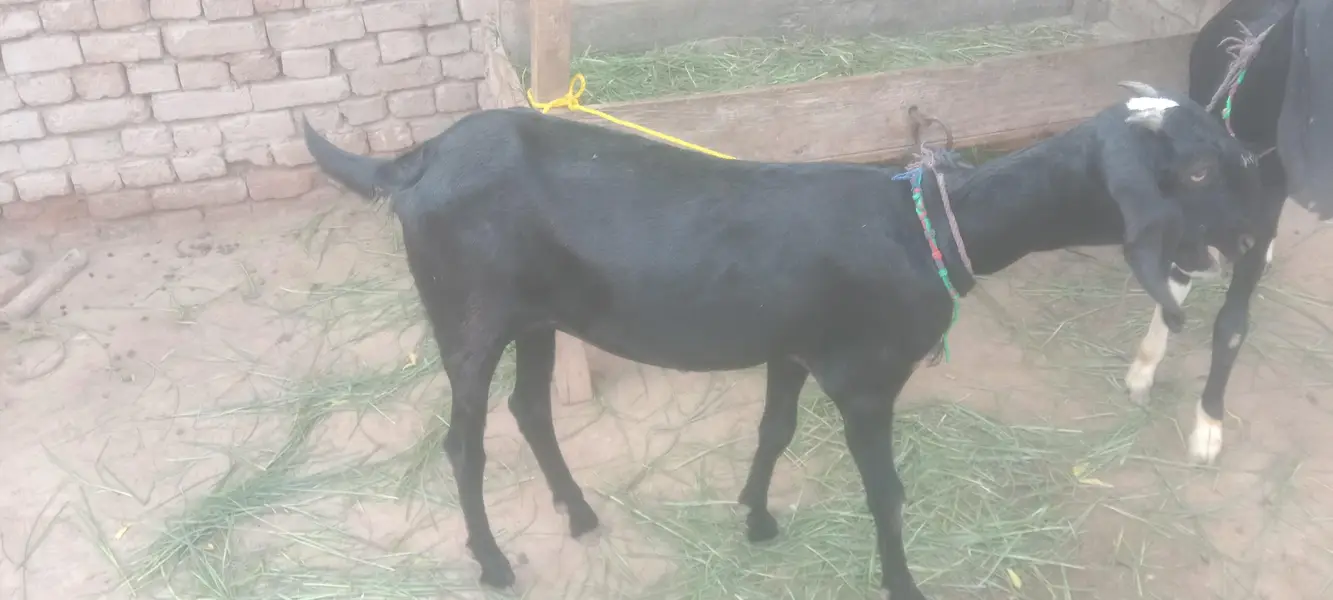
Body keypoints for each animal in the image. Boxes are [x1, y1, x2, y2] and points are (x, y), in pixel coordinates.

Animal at [303, 84, 1262, 599]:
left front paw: (757, 519)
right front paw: (902, 582)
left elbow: (774, 431)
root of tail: (414, 162)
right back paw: (496, 561)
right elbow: (886, 493)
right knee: (463, 439)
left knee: (530, 408)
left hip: (537, 317)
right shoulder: (866, 379)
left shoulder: (794, 350)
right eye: (1196, 170)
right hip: (466, 313)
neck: (925, 227)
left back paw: (576, 514)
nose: (1253, 238)